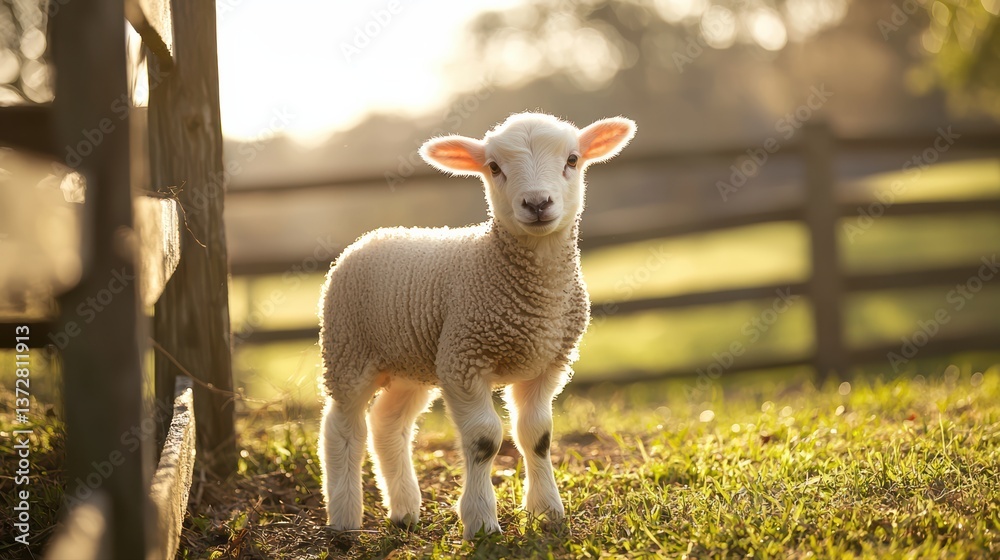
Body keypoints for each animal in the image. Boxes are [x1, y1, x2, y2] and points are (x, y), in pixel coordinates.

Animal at [318, 112, 636, 539]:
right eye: (494, 167)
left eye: (572, 159)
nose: (537, 203)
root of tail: (374, 235)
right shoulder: (464, 359)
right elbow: (485, 440)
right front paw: (482, 522)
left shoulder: (547, 364)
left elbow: (537, 435)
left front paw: (547, 513)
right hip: (348, 349)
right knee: (343, 427)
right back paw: (344, 519)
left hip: (412, 363)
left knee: (387, 423)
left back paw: (404, 510)